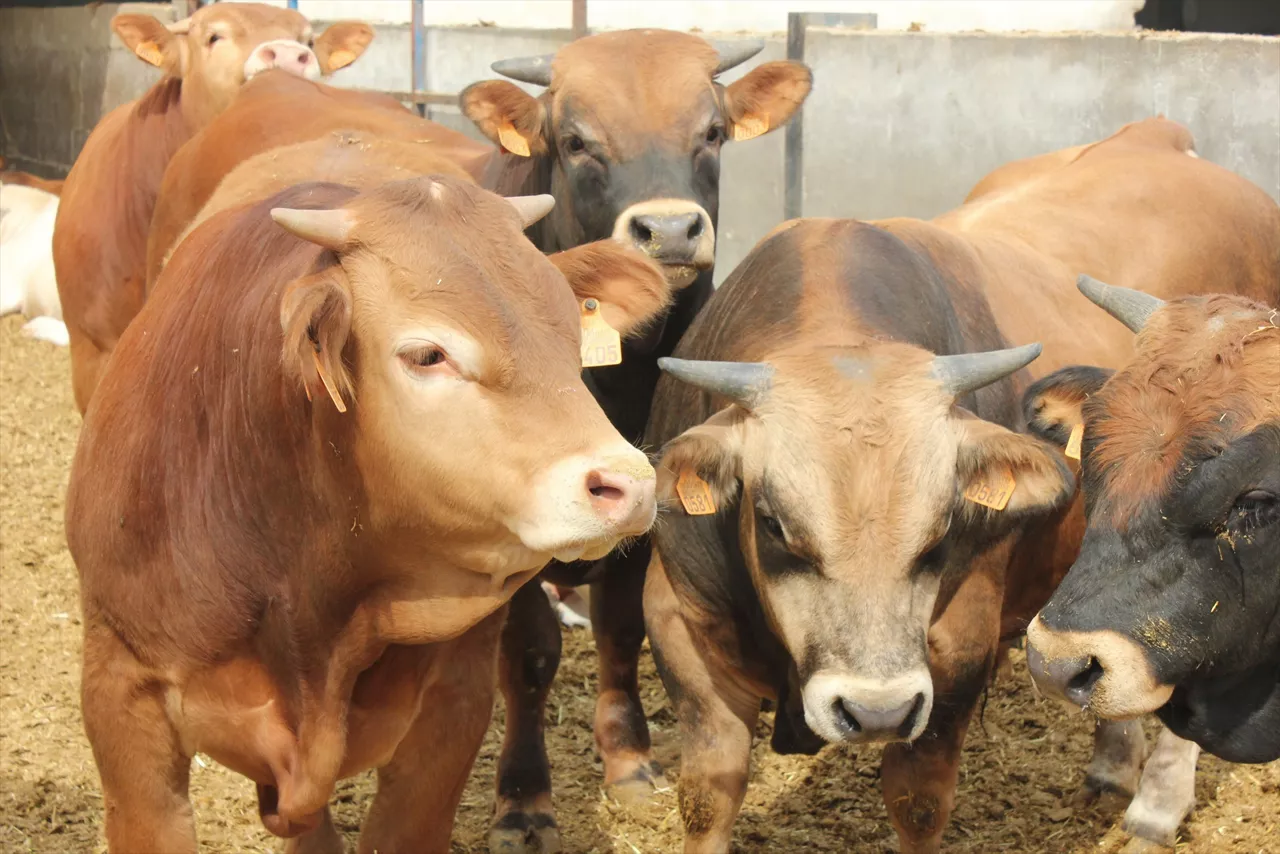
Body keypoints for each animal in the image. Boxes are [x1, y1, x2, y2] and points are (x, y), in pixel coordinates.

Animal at [134, 30, 812, 852]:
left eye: (711, 132)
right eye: (576, 140)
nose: (670, 231)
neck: (619, 376)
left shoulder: (644, 506)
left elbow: (620, 630)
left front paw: (628, 759)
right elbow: (529, 655)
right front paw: (524, 800)